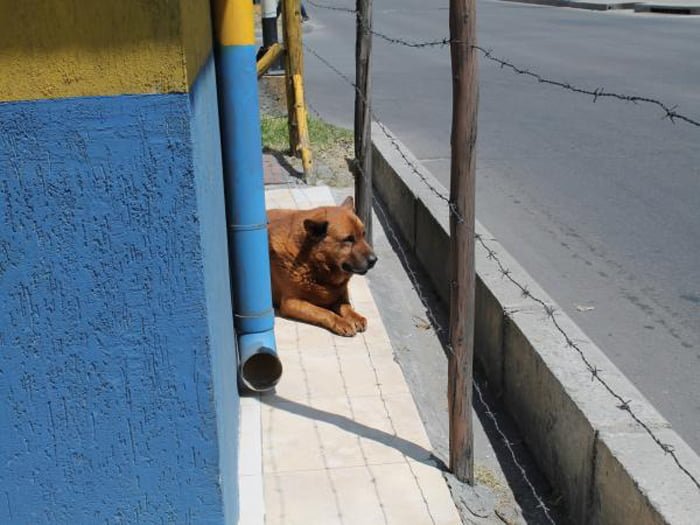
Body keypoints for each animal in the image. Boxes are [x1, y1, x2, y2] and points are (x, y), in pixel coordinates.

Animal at [268, 196, 378, 336]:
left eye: (364, 234)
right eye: (348, 239)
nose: (374, 260)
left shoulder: (340, 294)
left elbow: (346, 306)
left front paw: (354, 316)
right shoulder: (291, 303)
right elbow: (323, 311)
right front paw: (341, 322)